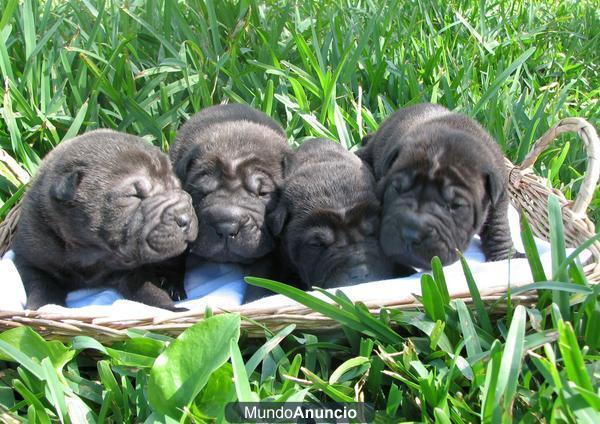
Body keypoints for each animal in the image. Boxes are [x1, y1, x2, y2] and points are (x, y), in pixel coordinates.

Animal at [11, 129, 198, 308]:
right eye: (134, 195)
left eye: (176, 187)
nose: (185, 218)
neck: (91, 252)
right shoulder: (30, 257)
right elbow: (41, 285)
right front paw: (45, 307)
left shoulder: (135, 270)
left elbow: (147, 289)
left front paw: (170, 308)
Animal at [356, 102, 516, 268]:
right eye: (396, 189)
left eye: (456, 206)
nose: (410, 233)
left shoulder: (500, 195)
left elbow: (499, 226)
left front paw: (504, 256)